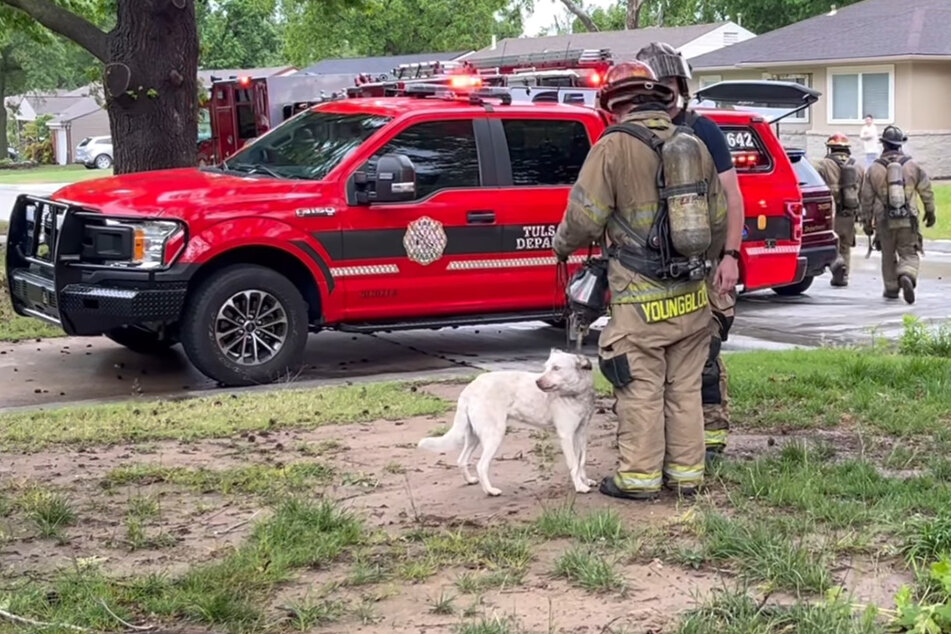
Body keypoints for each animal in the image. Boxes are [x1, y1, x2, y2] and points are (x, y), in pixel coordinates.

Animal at [416, 348, 596, 496]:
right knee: (481, 465)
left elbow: (582, 461)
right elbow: (574, 464)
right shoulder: (566, 435)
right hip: (494, 435)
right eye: (545, 367)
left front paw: (585, 480)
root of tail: (470, 388)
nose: (537, 382)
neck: (577, 395)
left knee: (462, 460)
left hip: (474, 436)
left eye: (556, 368)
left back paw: (470, 480)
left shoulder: (581, 434)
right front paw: (580, 486)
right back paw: (490, 491)